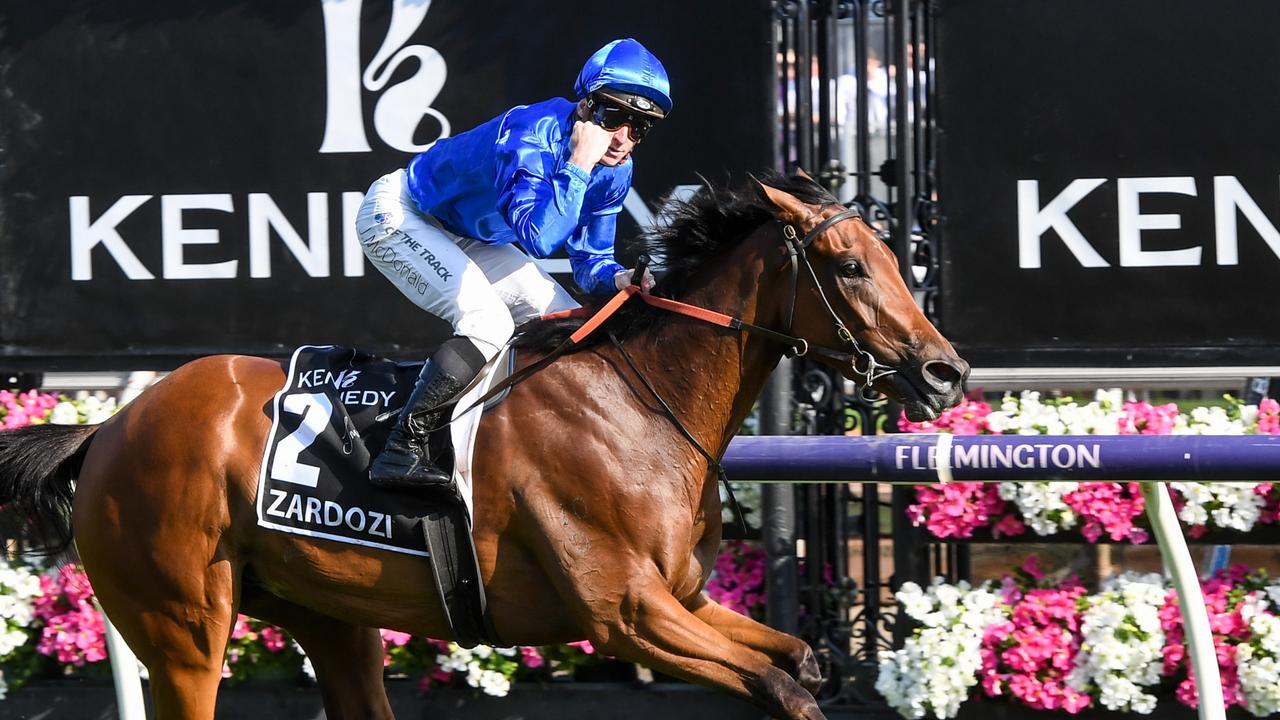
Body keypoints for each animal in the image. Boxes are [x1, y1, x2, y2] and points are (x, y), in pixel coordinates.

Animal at [0, 170, 962, 712]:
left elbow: (799, 658)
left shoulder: (684, 600)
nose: (945, 370)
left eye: (893, 255)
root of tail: (112, 426)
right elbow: (783, 687)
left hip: (328, 617)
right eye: (849, 266)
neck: (640, 404)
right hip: (183, 629)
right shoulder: (627, 615)